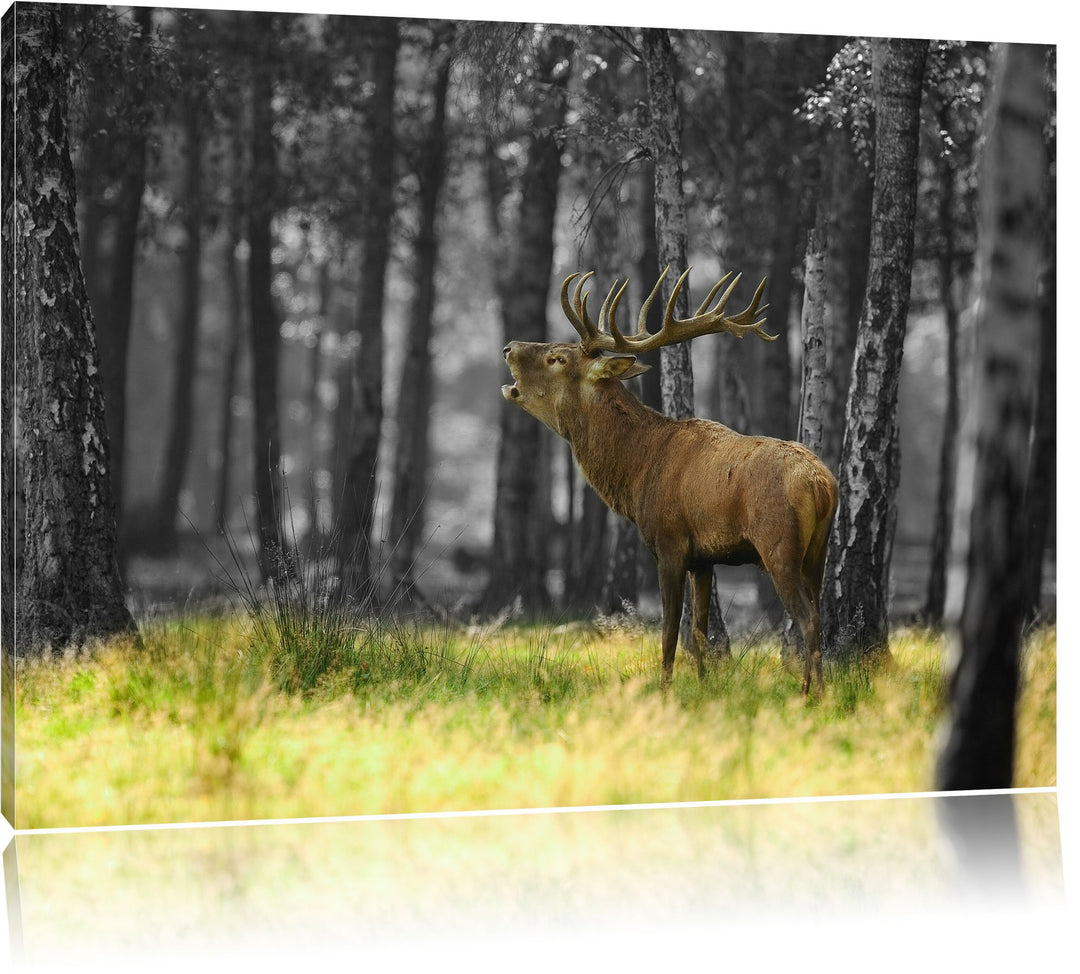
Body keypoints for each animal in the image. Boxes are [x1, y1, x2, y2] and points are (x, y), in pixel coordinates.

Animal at [501, 266, 838, 695]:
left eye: (557, 358)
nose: (508, 347)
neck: (637, 472)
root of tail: (821, 485)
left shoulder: (669, 542)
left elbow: (668, 633)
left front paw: (664, 691)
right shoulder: (705, 558)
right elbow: (699, 632)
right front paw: (705, 687)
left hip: (779, 544)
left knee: (807, 620)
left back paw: (813, 695)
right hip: (818, 550)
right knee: (819, 614)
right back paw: (815, 690)